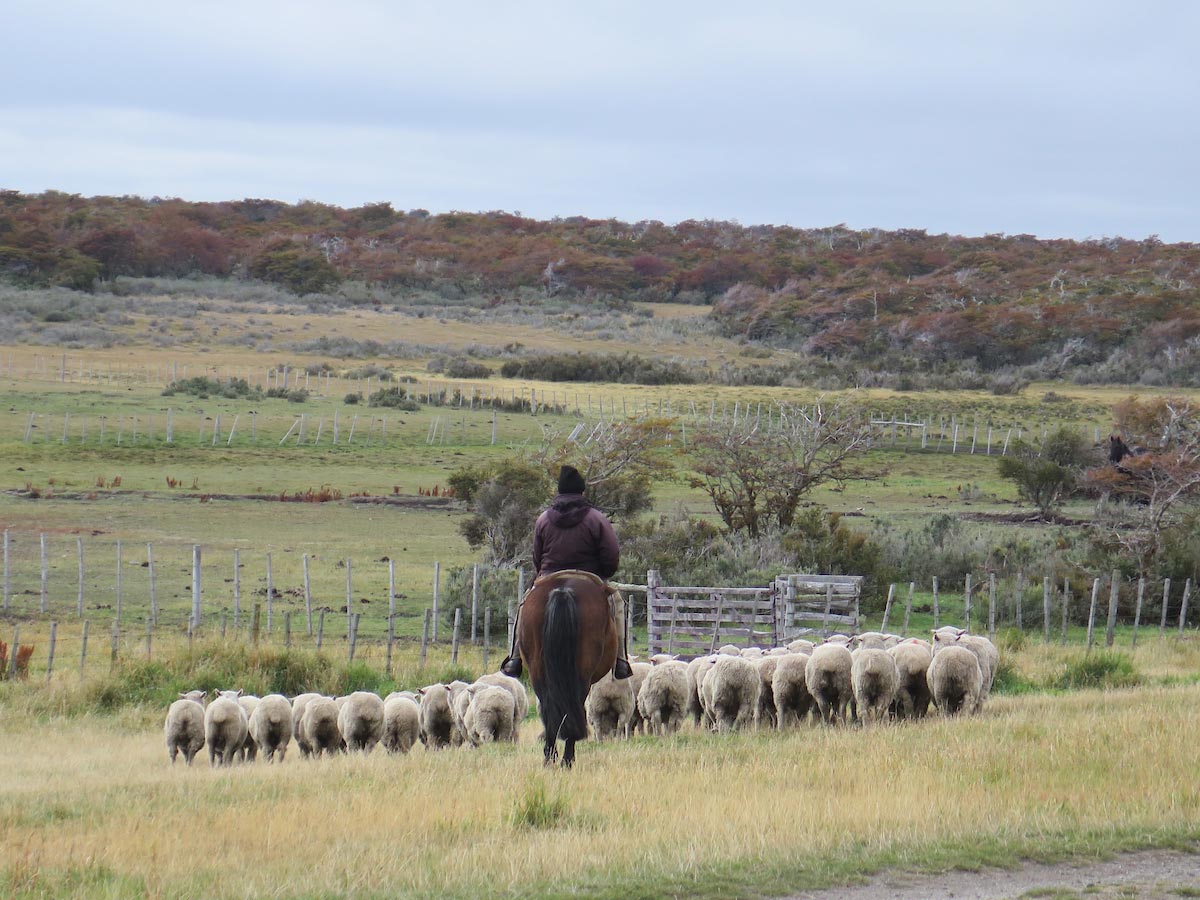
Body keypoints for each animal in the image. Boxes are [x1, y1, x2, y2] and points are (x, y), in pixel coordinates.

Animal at [516, 573, 619, 772]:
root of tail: (563, 590)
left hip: (537, 671)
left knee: (549, 709)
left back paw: (549, 758)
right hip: (582, 676)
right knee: (572, 708)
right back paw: (567, 759)